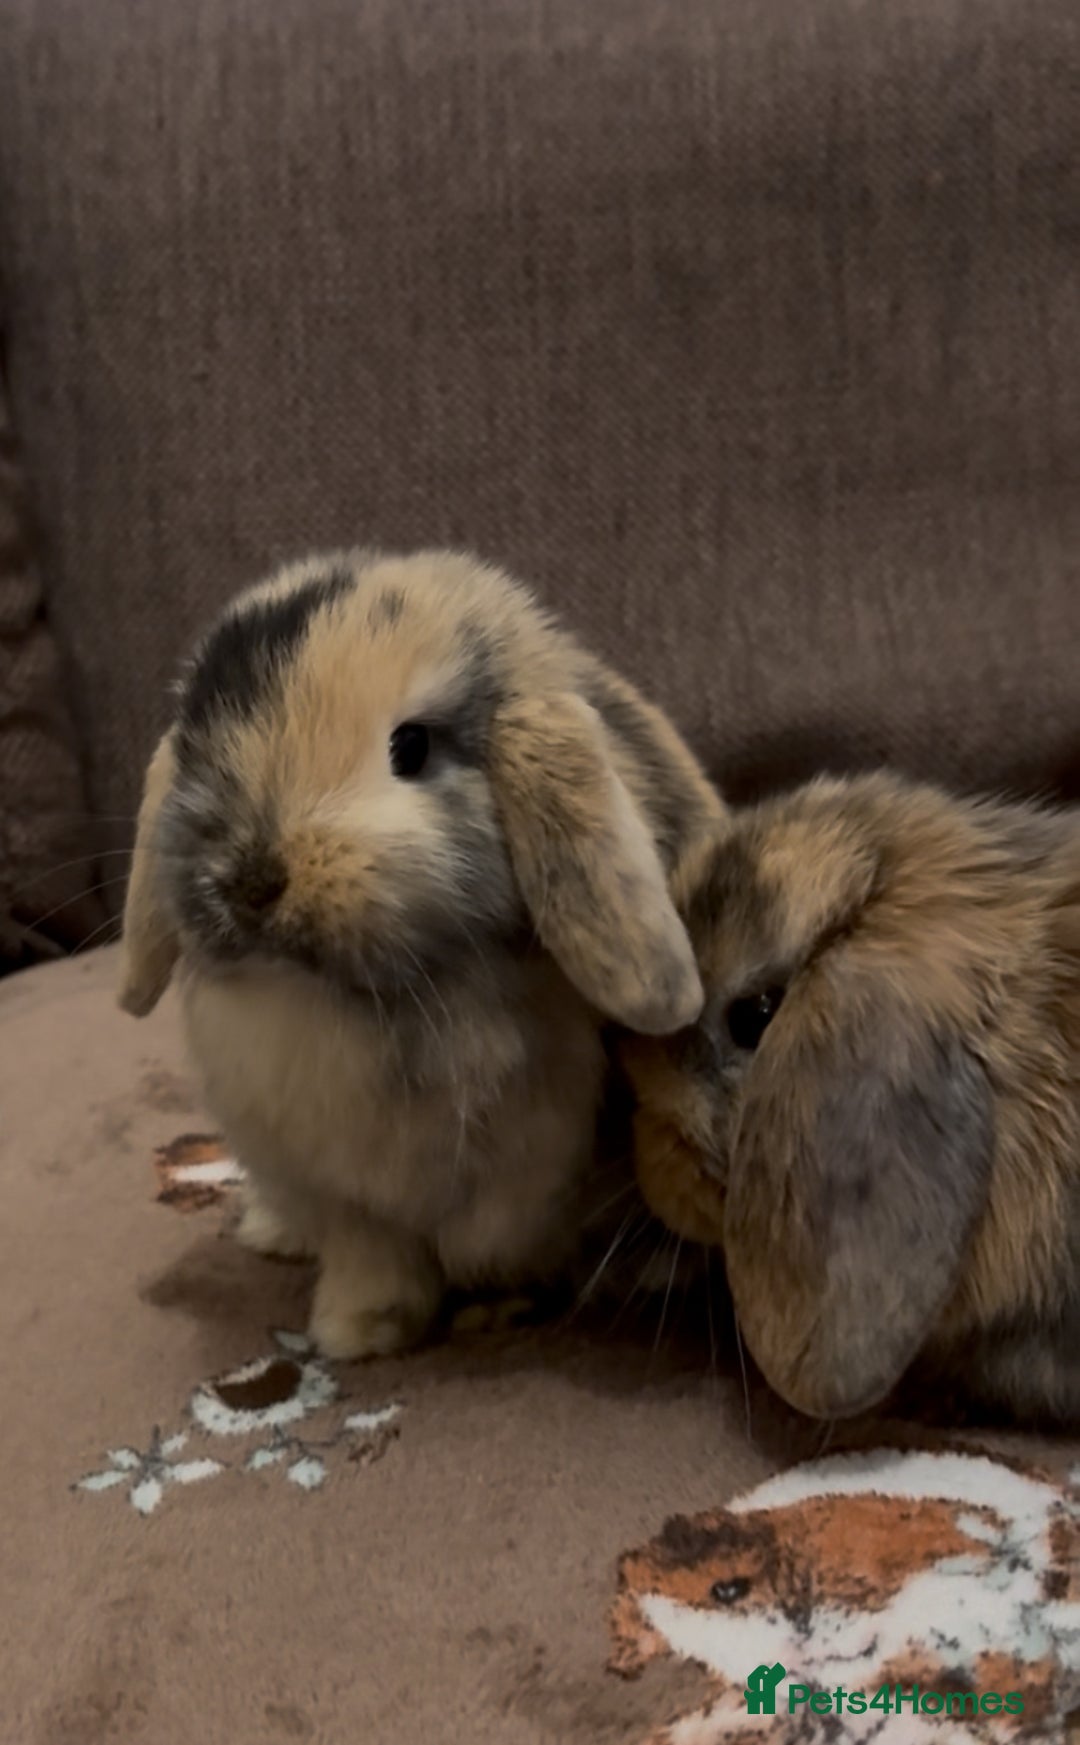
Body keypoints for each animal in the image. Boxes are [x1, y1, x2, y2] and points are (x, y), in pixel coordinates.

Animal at [118, 548, 725, 1360]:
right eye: (195, 743)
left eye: (411, 747)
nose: (251, 881)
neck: (352, 998)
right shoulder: (345, 1196)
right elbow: (373, 1261)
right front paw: (358, 1333)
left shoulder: (527, 1186)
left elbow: (511, 1256)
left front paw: (492, 1311)